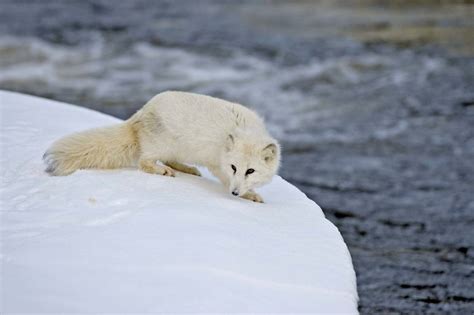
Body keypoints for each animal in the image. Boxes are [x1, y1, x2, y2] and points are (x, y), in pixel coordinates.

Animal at [43, 90, 280, 205]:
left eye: (250, 170)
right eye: (234, 167)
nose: (234, 193)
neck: (245, 129)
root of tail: (140, 113)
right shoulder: (217, 164)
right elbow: (224, 177)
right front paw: (250, 196)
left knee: (168, 160)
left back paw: (187, 169)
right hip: (162, 144)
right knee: (144, 162)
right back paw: (162, 170)